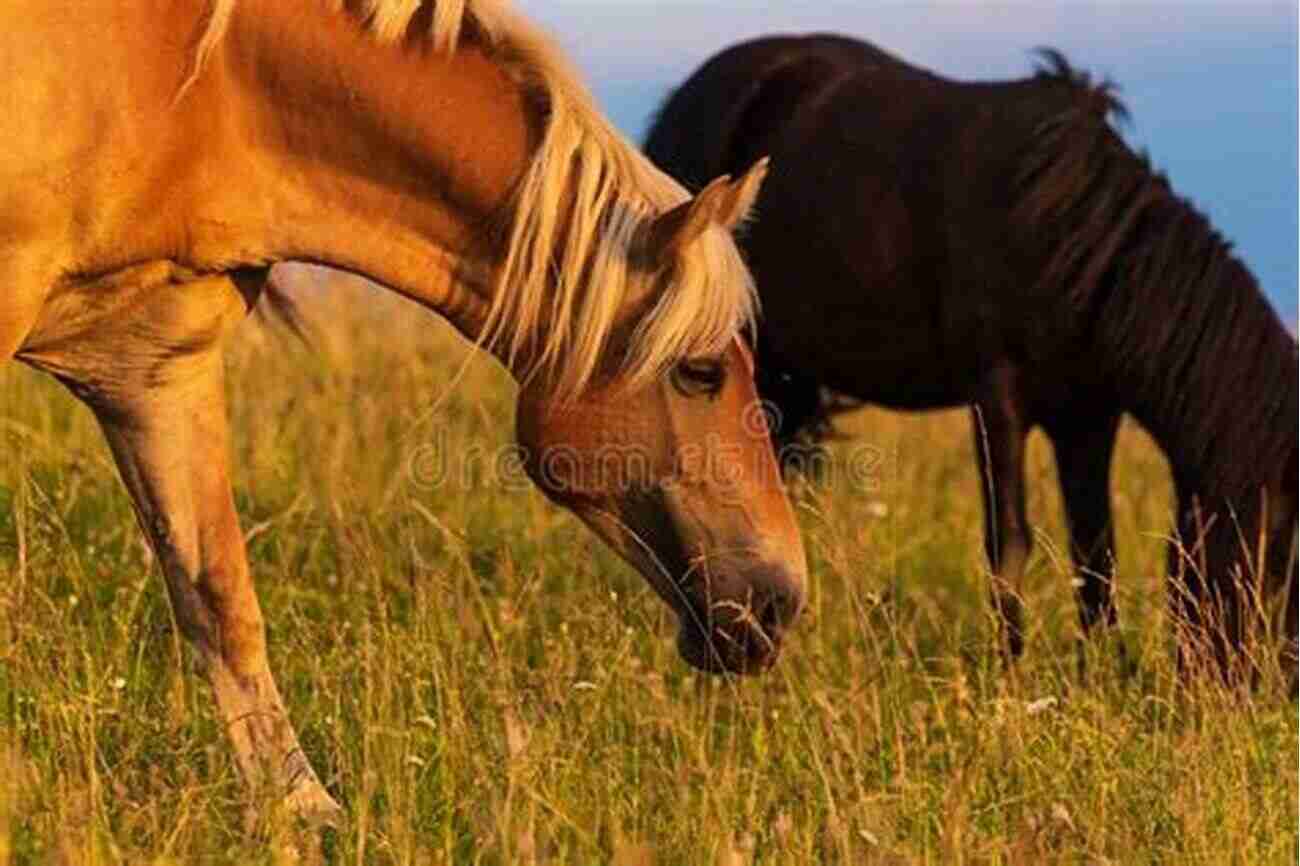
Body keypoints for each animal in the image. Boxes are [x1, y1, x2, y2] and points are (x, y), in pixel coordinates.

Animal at [0, 0, 806, 816]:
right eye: (701, 372)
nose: (779, 601)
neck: (205, 86)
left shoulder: (154, 369)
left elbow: (219, 598)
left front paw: (303, 810)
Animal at [644, 33, 1294, 676]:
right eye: (1281, 552)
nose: (1274, 682)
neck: (1066, 237)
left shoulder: (1088, 418)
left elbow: (1094, 547)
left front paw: (1105, 669)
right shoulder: (997, 399)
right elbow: (1010, 539)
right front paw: (1009, 668)